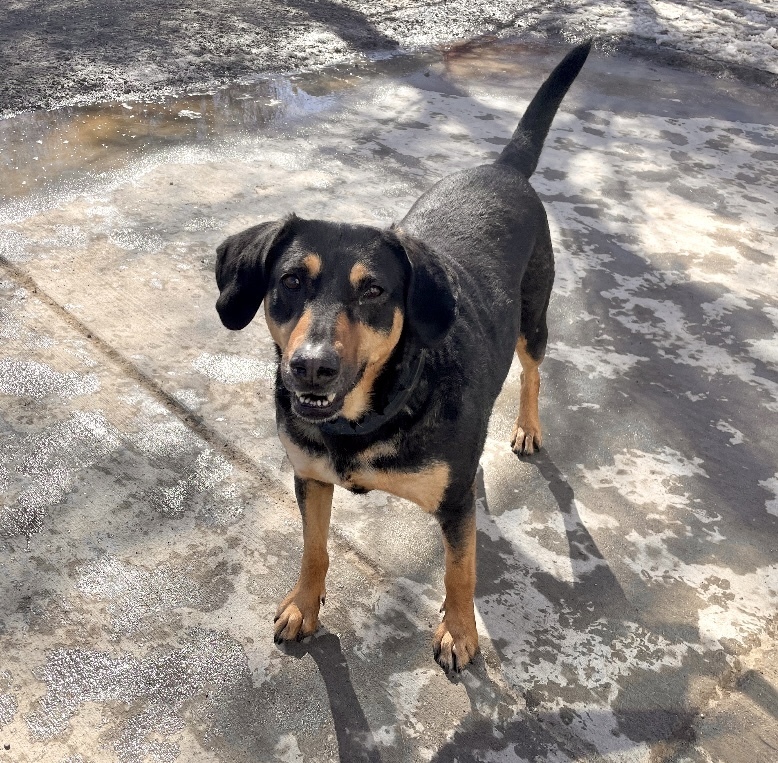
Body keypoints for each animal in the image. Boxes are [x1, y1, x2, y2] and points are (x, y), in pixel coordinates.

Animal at [212, 41, 588, 676]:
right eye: (290, 281)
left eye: (373, 291)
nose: (310, 366)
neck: (368, 414)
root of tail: (504, 169)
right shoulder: (309, 476)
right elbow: (315, 549)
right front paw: (304, 605)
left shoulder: (455, 508)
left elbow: (460, 568)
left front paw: (459, 630)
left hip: (532, 321)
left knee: (534, 372)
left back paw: (528, 426)